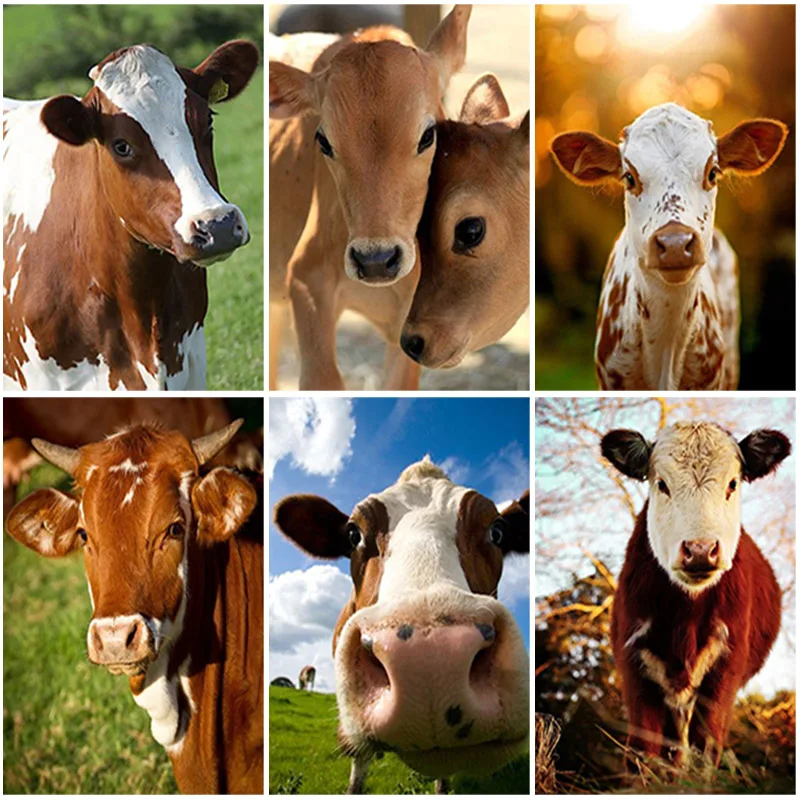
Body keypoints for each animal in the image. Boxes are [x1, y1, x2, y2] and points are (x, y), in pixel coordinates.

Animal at [601, 421, 790, 765]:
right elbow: (644, 751)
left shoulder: (725, 670)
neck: (684, 616)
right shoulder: (635, 666)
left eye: (732, 484)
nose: (700, 550)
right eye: (661, 484)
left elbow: (707, 746)